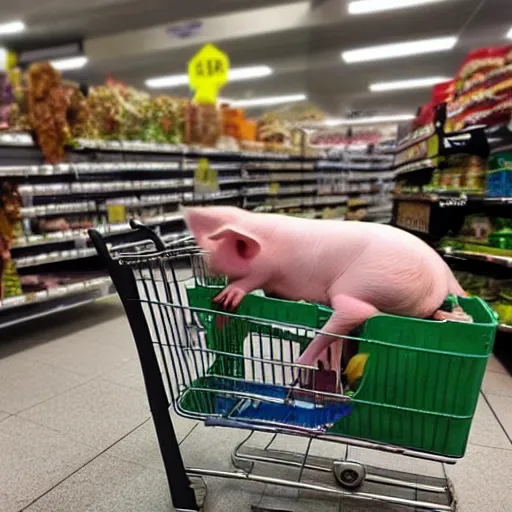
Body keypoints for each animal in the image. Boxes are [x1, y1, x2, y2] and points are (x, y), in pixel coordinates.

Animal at [182, 206, 466, 370]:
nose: (205, 261)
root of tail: (443, 276)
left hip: (370, 283)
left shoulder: (268, 271)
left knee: (355, 313)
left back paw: (303, 363)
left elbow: (250, 281)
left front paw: (229, 296)